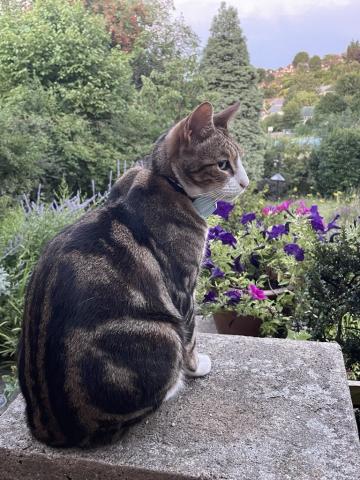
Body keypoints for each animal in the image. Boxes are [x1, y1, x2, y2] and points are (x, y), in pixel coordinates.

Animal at [16, 99, 248, 448]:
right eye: (223, 164)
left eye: (239, 160)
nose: (247, 183)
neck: (164, 181)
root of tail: (53, 427)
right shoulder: (183, 285)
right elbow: (192, 337)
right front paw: (195, 369)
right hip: (164, 333)